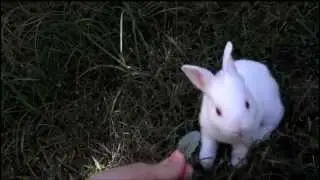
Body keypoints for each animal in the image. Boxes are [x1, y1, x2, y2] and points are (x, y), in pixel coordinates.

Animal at [181, 41, 284, 169]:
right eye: (218, 111)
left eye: (247, 104)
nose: (239, 130)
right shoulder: (207, 131)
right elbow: (208, 147)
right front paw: (206, 164)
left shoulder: (245, 138)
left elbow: (240, 150)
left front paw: (237, 163)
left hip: (272, 111)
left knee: (271, 125)